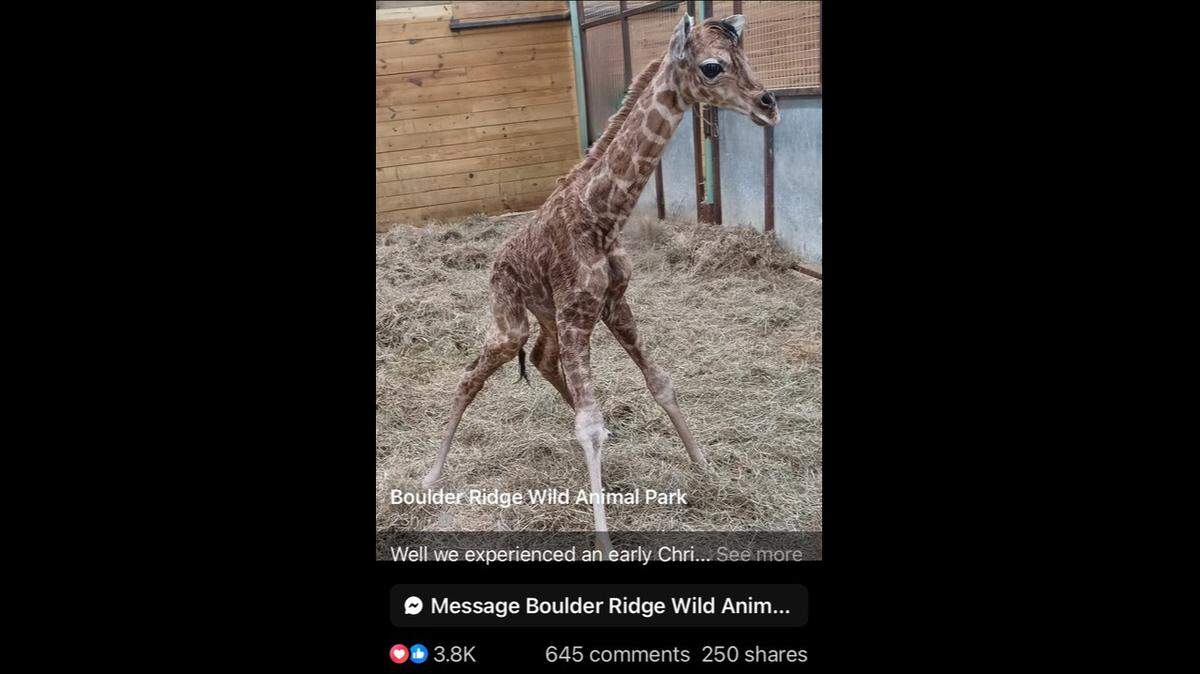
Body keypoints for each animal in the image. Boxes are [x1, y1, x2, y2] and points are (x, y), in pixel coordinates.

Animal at [420, 14, 781, 551]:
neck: (602, 217)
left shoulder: (612, 304)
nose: (768, 106)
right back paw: (432, 476)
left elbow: (660, 383)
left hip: (550, 318)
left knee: (544, 361)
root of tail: (497, 259)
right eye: (712, 67)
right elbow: (590, 426)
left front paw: (706, 466)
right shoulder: (578, 312)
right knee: (470, 375)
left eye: (747, 56)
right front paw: (605, 543)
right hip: (512, 323)